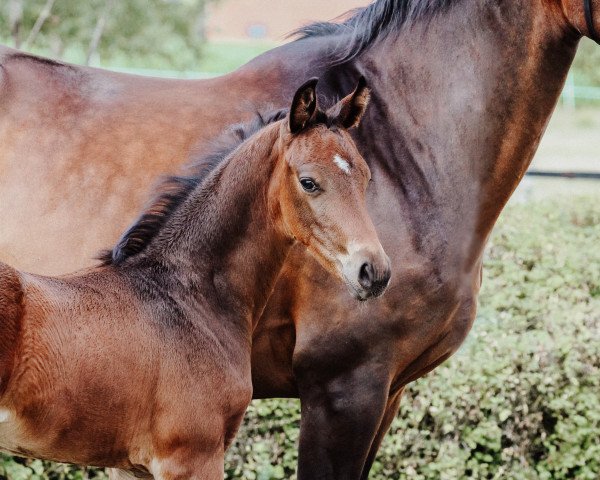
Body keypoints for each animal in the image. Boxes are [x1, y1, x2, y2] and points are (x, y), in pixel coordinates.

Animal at [0, 80, 390, 478]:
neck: (188, 298)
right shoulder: (194, 457)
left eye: (365, 177)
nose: (374, 271)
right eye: (308, 182)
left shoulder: (129, 466)